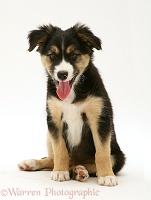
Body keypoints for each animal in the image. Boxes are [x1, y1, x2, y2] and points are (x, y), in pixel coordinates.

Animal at [18, 23, 125, 188]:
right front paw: (60, 172)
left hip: (119, 157)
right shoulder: (54, 118)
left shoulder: (100, 118)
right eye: (52, 56)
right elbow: (60, 149)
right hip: (48, 135)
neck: (73, 92)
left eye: (74, 55)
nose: (62, 74)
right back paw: (32, 163)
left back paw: (79, 171)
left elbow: (101, 152)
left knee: (91, 163)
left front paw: (107, 176)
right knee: (52, 159)